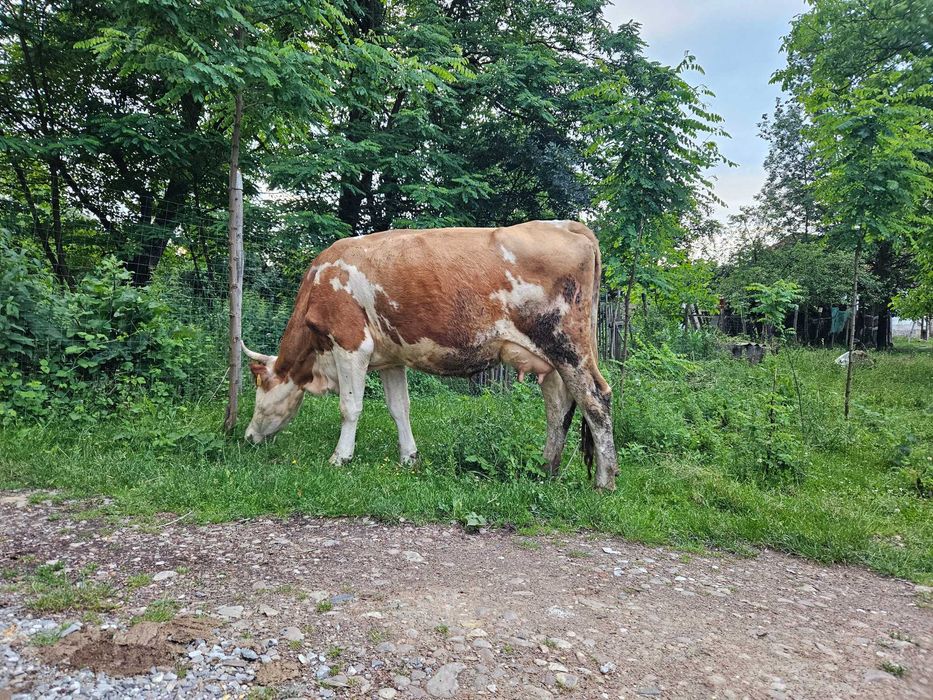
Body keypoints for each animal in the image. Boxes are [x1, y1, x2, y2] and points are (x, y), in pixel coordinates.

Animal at [241, 220, 619, 490]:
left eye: (260, 390)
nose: (246, 437)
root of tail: (568, 225)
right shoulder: (390, 358)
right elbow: (399, 408)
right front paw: (409, 458)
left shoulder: (351, 344)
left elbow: (350, 407)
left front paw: (340, 458)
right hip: (552, 361)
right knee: (559, 409)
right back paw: (545, 470)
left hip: (568, 346)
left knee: (595, 401)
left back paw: (605, 481)